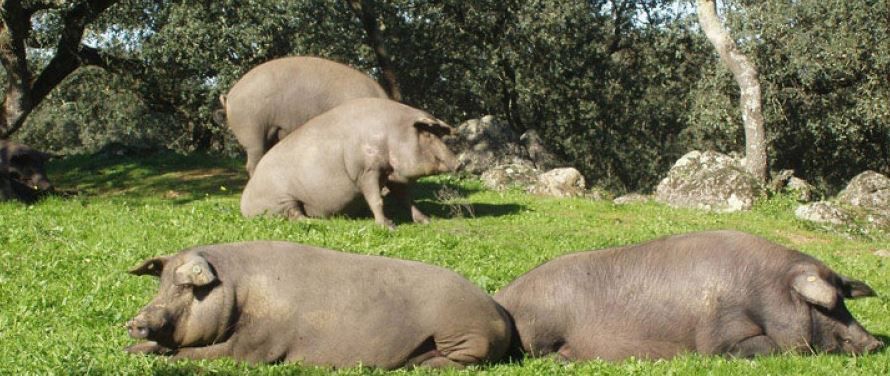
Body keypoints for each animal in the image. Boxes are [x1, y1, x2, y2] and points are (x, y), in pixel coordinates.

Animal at [126, 241, 512, 368]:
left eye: (185, 287)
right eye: (160, 284)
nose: (135, 322)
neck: (238, 292)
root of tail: (499, 312)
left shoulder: (258, 345)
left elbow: (204, 354)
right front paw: (133, 350)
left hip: (462, 331)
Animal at [239, 97, 458, 229]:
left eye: (439, 133)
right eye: (427, 134)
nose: (458, 162)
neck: (391, 134)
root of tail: (244, 205)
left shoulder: (392, 175)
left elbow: (406, 199)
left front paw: (427, 221)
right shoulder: (366, 170)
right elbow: (376, 199)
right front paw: (389, 226)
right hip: (281, 199)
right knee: (295, 215)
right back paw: (320, 222)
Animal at [492, 229, 880, 362]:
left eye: (844, 301)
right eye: (825, 306)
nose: (876, 343)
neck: (764, 293)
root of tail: (503, 297)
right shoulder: (718, 337)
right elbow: (767, 347)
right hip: (541, 328)